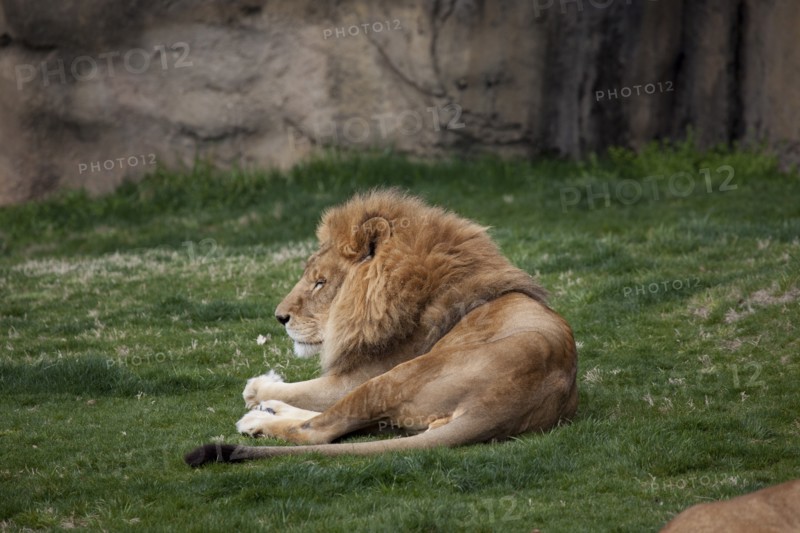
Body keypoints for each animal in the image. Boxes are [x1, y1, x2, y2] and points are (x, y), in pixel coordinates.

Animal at [185, 189, 577, 466]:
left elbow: (305, 391)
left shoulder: (360, 374)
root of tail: (501, 405)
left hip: (393, 378)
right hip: (401, 413)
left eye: (320, 283)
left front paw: (259, 388)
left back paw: (257, 420)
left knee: (320, 430)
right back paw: (270, 411)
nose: (280, 318)